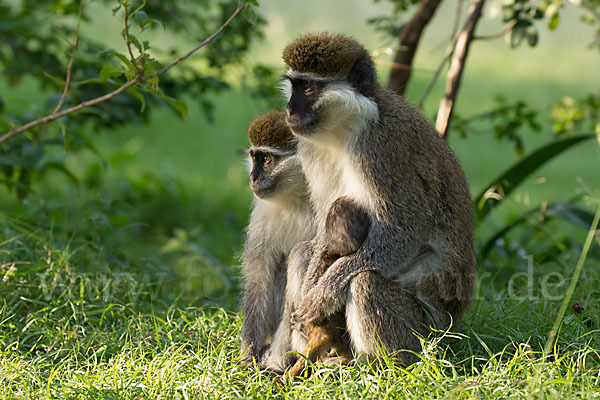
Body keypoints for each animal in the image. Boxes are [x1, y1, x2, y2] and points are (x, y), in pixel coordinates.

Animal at [239, 109, 316, 362]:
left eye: (267, 160)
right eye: (254, 158)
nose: (253, 178)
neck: (297, 198)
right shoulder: (261, 215)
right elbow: (258, 281)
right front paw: (247, 357)